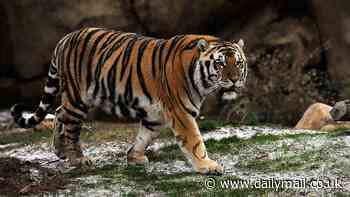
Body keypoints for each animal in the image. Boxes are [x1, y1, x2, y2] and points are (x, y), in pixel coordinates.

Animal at [10, 27, 246, 174]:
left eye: (238, 63)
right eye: (220, 63)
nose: (234, 80)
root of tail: (65, 38)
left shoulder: (156, 114)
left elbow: (145, 135)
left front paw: (134, 157)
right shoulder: (181, 112)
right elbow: (195, 141)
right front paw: (208, 166)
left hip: (81, 97)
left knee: (59, 112)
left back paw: (60, 151)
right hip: (78, 98)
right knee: (70, 124)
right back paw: (77, 158)